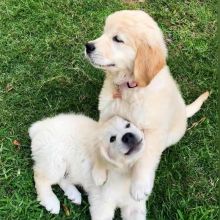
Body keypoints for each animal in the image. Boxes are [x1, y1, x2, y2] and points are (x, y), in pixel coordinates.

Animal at [85, 9, 209, 201]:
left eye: (117, 39)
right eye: (104, 32)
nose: (88, 46)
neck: (128, 87)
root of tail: (184, 110)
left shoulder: (153, 130)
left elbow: (145, 158)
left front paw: (140, 186)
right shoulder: (106, 115)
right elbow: (100, 141)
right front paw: (99, 171)